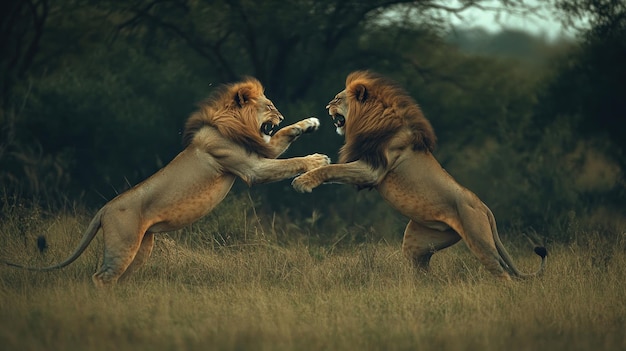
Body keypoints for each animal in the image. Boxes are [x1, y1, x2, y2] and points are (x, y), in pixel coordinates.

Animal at [2, 77, 330, 288]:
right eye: (271, 106)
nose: (282, 114)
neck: (231, 123)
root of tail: (104, 209)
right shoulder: (252, 168)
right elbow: (288, 163)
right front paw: (318, 160)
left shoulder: (260, 151)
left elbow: (285, 137)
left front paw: (310, 123)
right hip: (123, 245)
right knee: (101, 278)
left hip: (142, 247)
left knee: (119, 278)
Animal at [290, 71, 544, 280]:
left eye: (336, 99)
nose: (326, 107)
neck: (372, 119)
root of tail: (484, 207)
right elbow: (334, 170)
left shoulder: (373, 170)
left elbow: (333, 170)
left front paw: (302, 182)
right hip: (418, 239)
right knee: (422, 270)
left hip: (480, 241)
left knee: (504, 275)